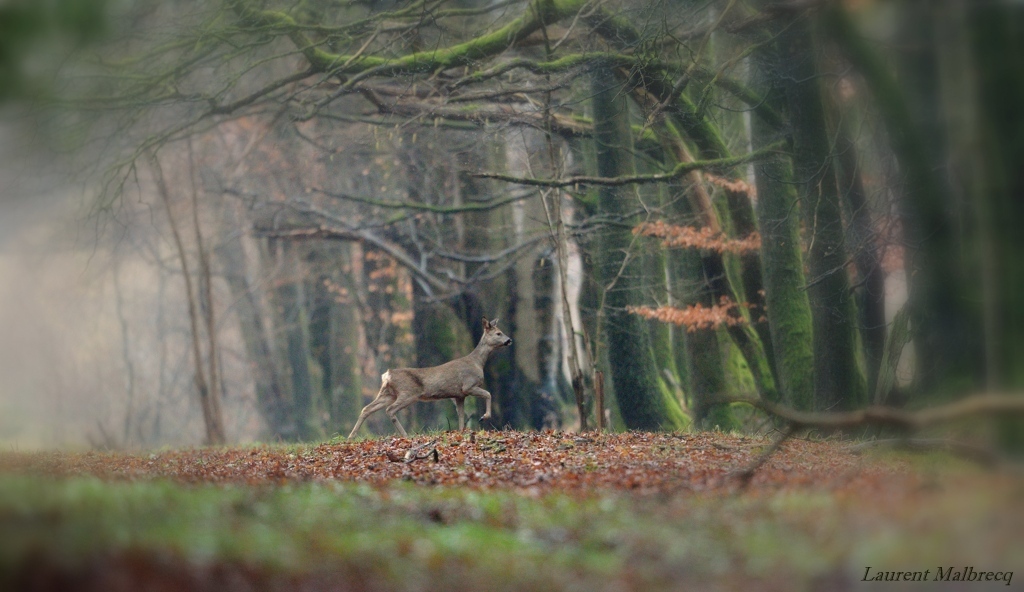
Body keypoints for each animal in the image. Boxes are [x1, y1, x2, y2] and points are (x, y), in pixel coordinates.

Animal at [348, 315, 512, 436]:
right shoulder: (468, 386)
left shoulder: (458, 395)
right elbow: (488, 394)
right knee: (390, 410)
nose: (509, 340)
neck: (477, 362)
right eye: (498, 333)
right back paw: (405, 435)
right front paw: (484, 417)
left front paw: (461, 431)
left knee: (367, 409)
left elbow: (461, 415)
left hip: (388, 393)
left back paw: (352, 436)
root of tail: (387, 375)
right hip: (408, 393)